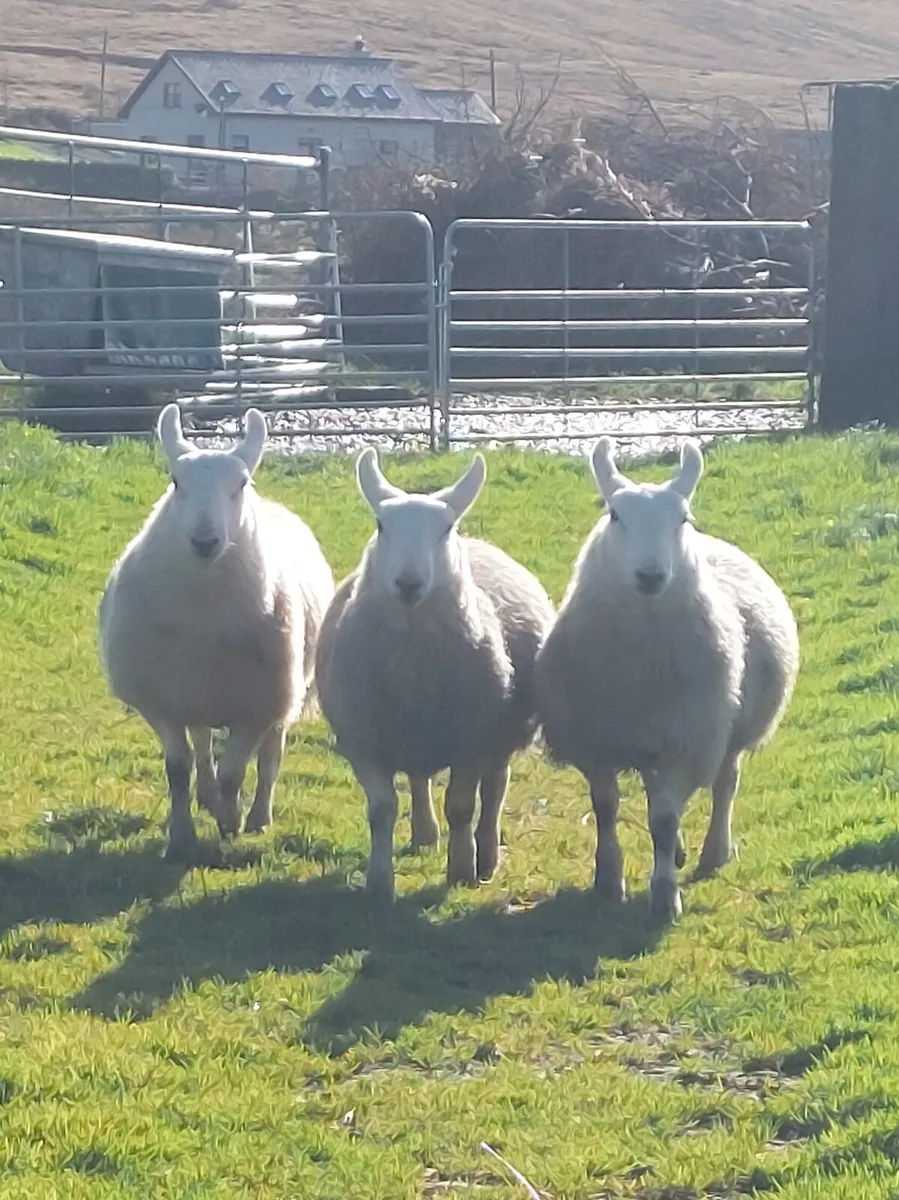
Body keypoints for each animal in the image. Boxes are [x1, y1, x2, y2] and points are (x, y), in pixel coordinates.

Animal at [98, 403, 335, 861]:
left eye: (241, 484)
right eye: (176, 481)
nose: (205, 541)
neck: (203, 618)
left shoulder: (256, 707)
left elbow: (235, 771)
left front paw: (230, 823)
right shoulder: (163, 702)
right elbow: (178, 769)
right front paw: (182, 835)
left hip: (281, 693)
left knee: (270, 757)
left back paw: (257, 816)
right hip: (197, 692)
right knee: (203, 741)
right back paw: (206, 796)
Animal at [314, 447, 556, 901]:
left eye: (446, 529)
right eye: (381, 525)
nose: (408, 584)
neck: (414, 665)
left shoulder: (473, 740)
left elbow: (461, 807)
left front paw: (461, 871)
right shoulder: (363, 741)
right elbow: (381, 810)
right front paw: (379, 883)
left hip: (500, 736)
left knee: (494, 789)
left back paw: (486, 855)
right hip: (412, 735)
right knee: (418, 777)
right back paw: (424, 834)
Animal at [534, 436, 799, 921]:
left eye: (682, 519)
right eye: (615, 515)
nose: (651, 575)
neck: (641, 667)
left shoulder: (685, 739)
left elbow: (663, 818)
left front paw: (664, 894)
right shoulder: (597, 738)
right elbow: (606, 808)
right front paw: (608, 878)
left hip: (723, 728)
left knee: (724, 783)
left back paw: (712, 851)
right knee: (656, 787)